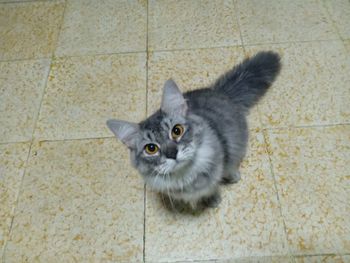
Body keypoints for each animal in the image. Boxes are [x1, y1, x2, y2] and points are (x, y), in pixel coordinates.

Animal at [106, 51, 282, 210]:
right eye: (151, 148)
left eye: (177, 131)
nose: (172, 154)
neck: (186, 175)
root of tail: (220, 91)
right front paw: (207, 201)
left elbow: (213, 185)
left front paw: (215, 199)